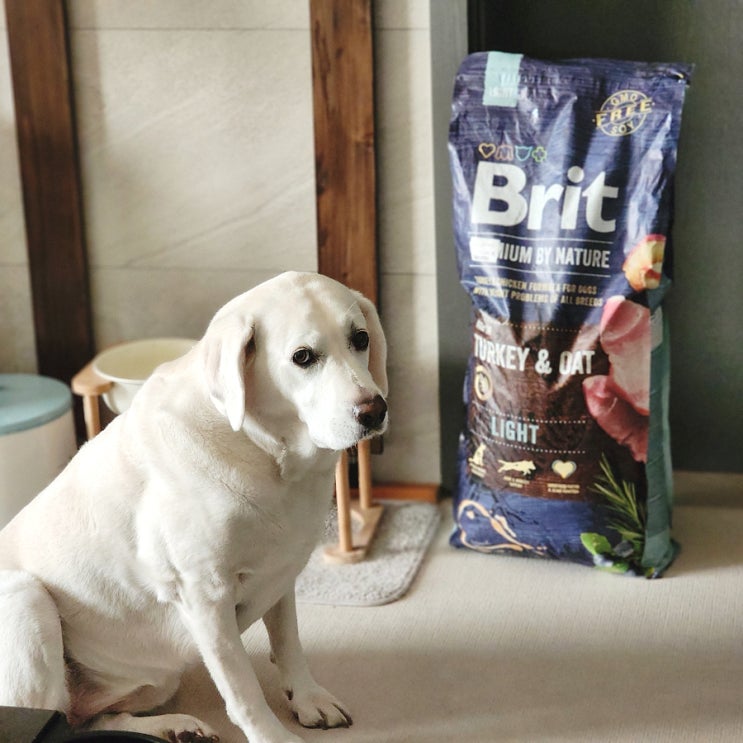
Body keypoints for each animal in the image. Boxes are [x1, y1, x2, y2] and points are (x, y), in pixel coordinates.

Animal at [0, 271, 388, 743]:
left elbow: (289, 644)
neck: (263, 453)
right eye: (303, 357)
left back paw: (173, 727)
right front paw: (272, 736)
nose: (375, 411)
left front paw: (309, 697)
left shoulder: (282, 574)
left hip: (152, 681)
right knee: (54, 718)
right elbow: (242, 689)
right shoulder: (206, 597)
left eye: (360, 338)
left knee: (88, 720)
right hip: (25, 598)